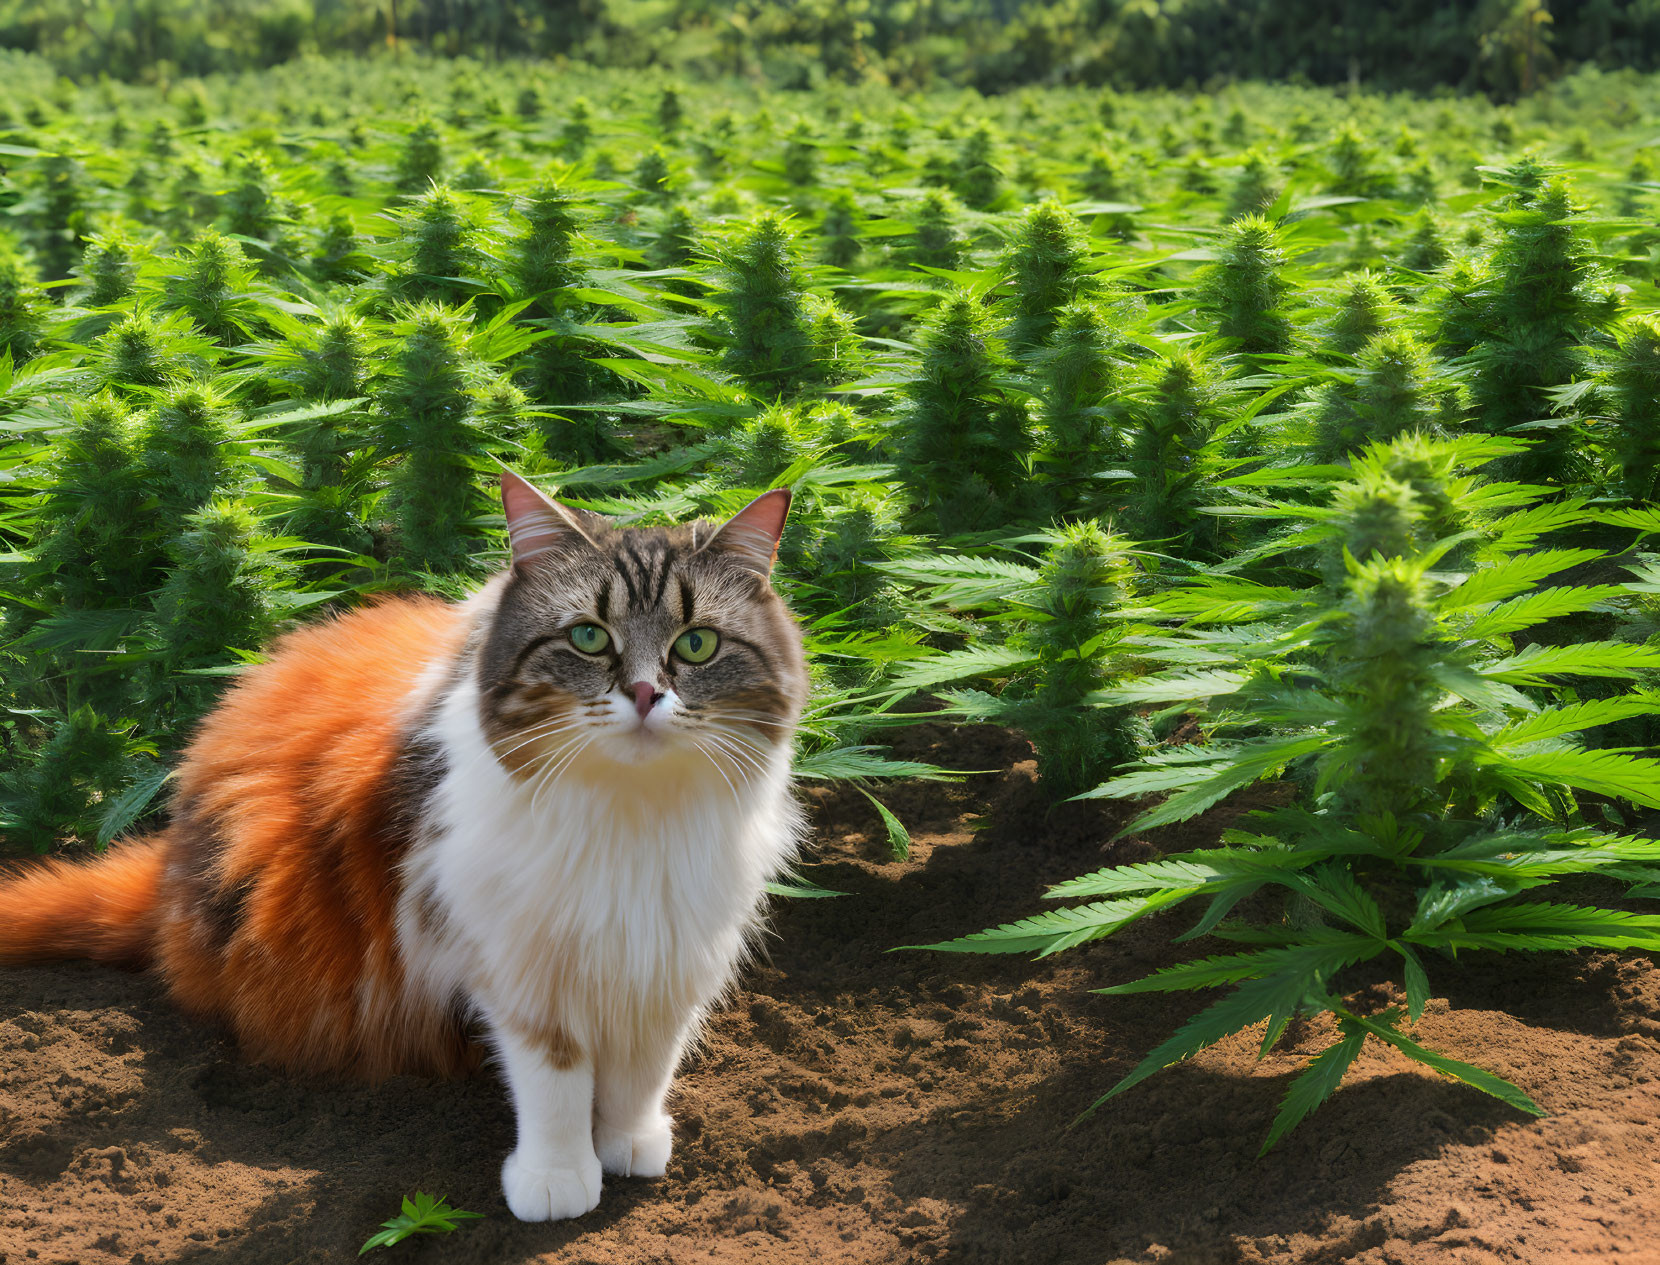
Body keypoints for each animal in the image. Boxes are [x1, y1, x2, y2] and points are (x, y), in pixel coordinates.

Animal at [0, 468, 810, 1215]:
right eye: (588, 636)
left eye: (696, 644)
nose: (644, 694)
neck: (630, 815)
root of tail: (170, 866)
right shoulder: (517, 954)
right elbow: (553, 1076)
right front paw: (557, 1179)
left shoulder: (673, 949)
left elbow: (646, 1063)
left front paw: (631, 1140)